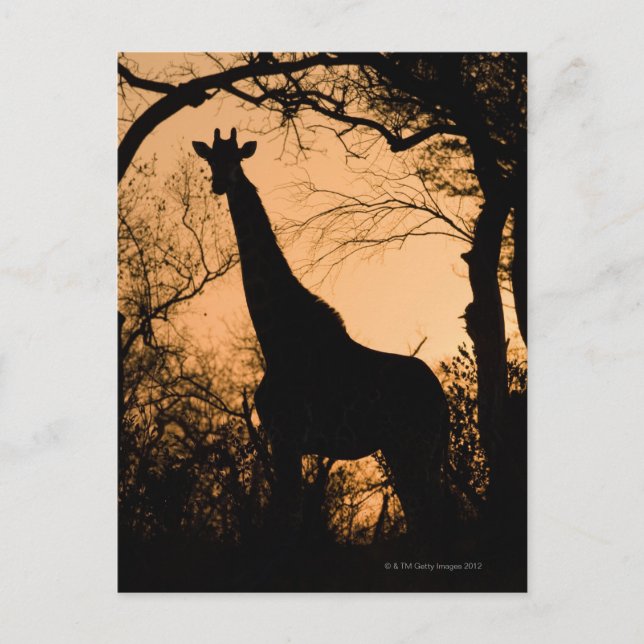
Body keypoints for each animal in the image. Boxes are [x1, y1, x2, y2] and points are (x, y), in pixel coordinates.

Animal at [193, 128, 451, 547]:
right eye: (211, 160)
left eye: (236, 159)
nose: (220, 183)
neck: (275, 337)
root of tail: (442, 401)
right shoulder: (287, 441)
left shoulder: (285, 435)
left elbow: (286, 518)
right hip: (420, 451)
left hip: (410, 445)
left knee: (428, 519)